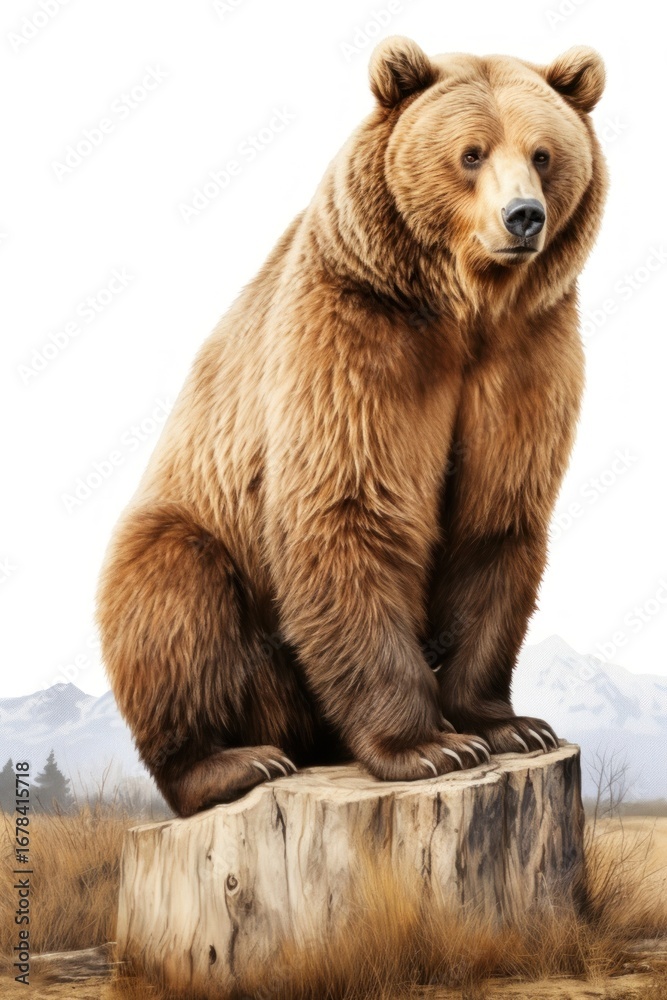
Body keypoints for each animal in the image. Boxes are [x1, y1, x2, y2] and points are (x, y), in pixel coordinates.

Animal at [97, 37, 608, 817]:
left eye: (543, 153)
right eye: (470, 153)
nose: (522, 217)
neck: (466, 308)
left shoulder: (527, 359)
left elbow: (494, 523)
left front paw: (509, 724)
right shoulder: (357, 337)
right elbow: (350, 508)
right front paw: (428, 746)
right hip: (204, 547)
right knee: (173, 599)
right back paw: (233, 761)